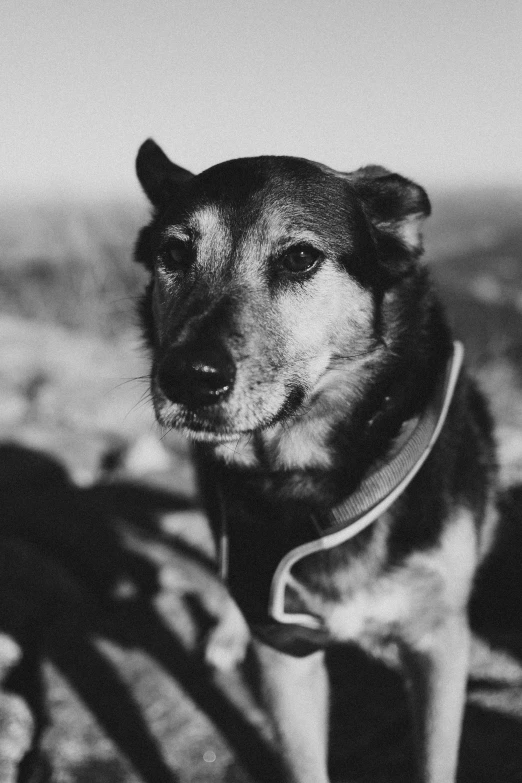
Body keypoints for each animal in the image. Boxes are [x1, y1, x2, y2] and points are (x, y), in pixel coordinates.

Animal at [133, 141, 496, 783]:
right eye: (174, 254)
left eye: (300, 258)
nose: (188, 379)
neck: (322, 479)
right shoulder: (289, 654)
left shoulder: (440, 644)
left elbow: (435, 758)